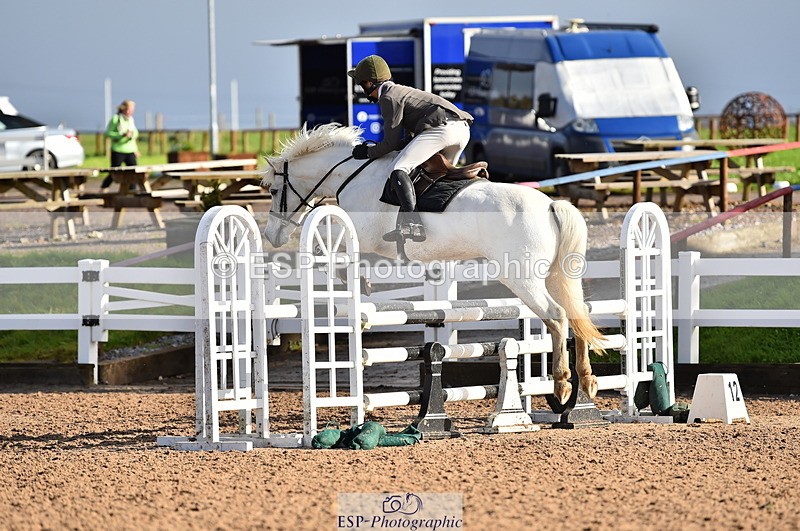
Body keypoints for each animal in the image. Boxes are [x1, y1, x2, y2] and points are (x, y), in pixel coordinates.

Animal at [261, 123, 604, 405]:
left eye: (274, 191)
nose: (272, 236)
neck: (352, 176)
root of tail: (551, 204)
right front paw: (359, 282)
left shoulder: (364, 236)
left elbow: (331, 249)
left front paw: (358, 282)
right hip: (554, 277)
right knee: (576, 313)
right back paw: (587, 381)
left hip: (523, 279)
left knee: (556, 316)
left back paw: (562, 384)